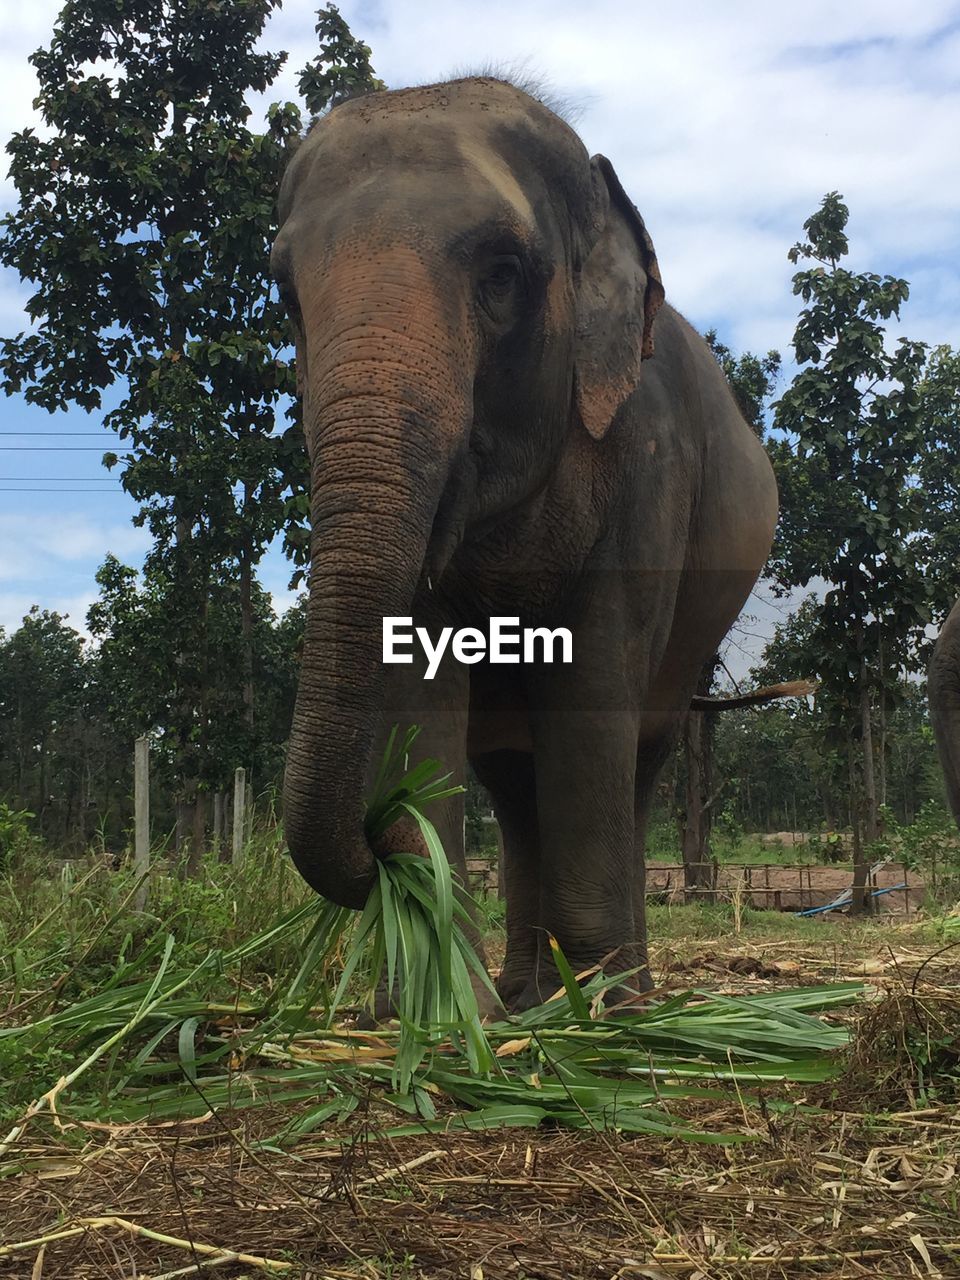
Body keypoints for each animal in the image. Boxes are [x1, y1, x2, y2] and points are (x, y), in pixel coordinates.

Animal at [272, 77, 783, 1008]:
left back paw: (623, 992)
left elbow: (591, 682)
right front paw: (433, 1010)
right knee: (514, 783)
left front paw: (602, 1015)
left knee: (637, 762)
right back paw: (525, 992)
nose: (379, 840)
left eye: (502, 274)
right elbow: (420, 680)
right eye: (285, 295)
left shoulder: (646, 458)